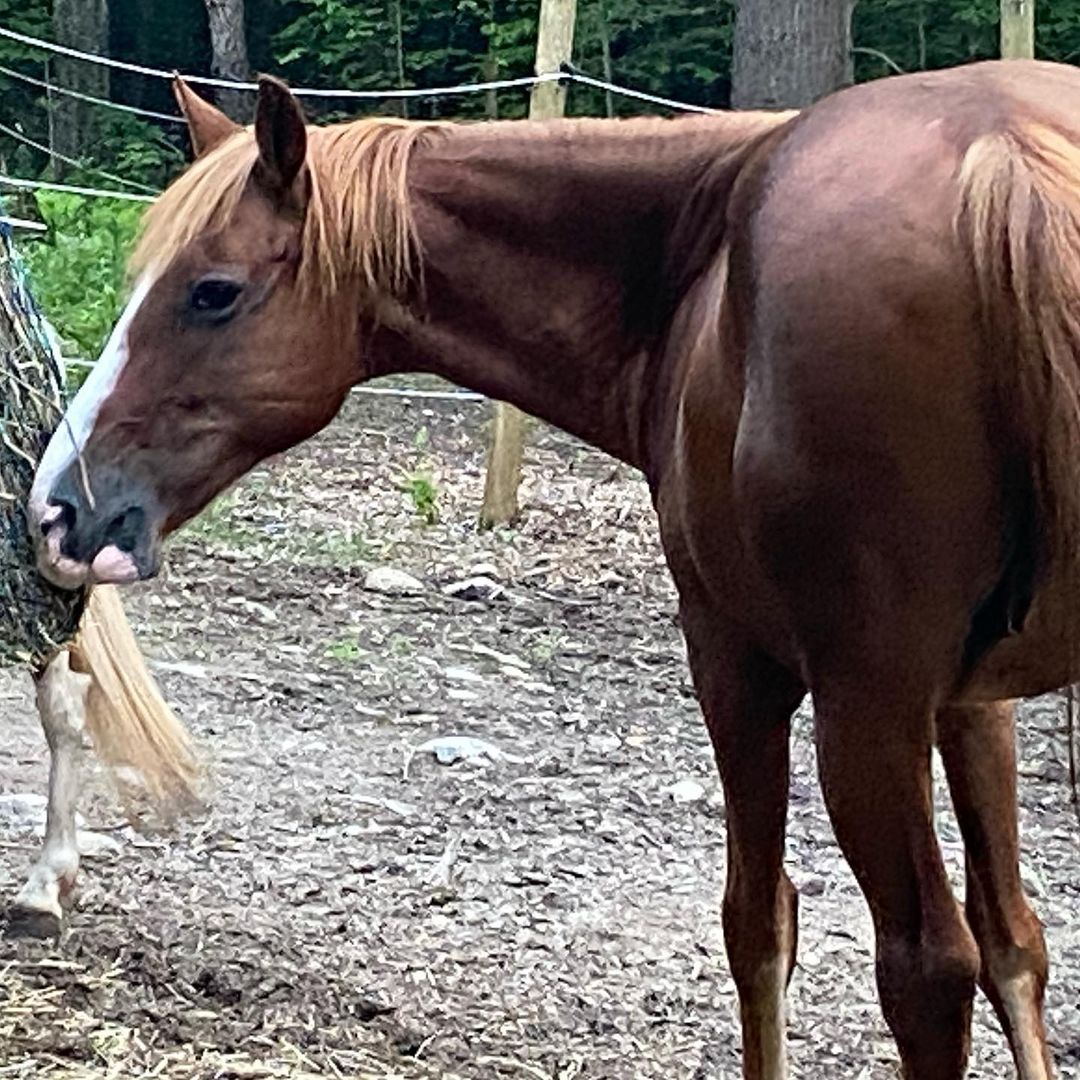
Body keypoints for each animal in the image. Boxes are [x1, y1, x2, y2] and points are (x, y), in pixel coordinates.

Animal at [25, 61, 1080, 1080]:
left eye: (211, 291)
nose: (60, 505)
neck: (694, 257)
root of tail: (1000, 162)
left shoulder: (738, 666)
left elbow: (759, 925)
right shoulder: (968, 700)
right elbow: (1015, 941)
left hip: (862, 716)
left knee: (922, 968)